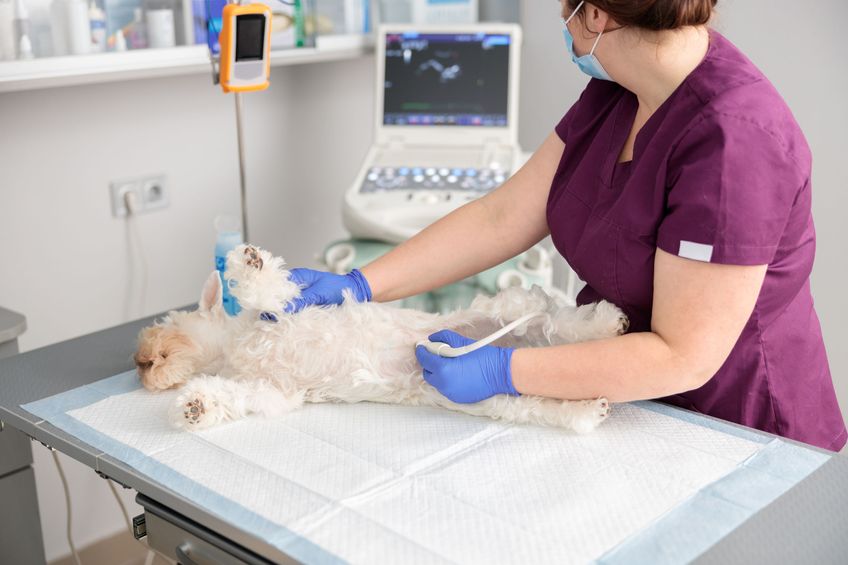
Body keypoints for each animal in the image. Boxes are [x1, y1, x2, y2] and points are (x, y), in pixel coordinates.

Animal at [136, 245, 628, 434]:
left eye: (163, 330)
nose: (140, 362)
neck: (235, 348)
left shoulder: (279, 313)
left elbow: (268, 291)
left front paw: (250, 262)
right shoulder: (275, 392)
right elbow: (235, 397)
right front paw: (195, 406)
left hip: (508, 310)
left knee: (560, 323)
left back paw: (609, 323)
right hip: (498, 398)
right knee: (543, 404)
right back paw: (588, 410)